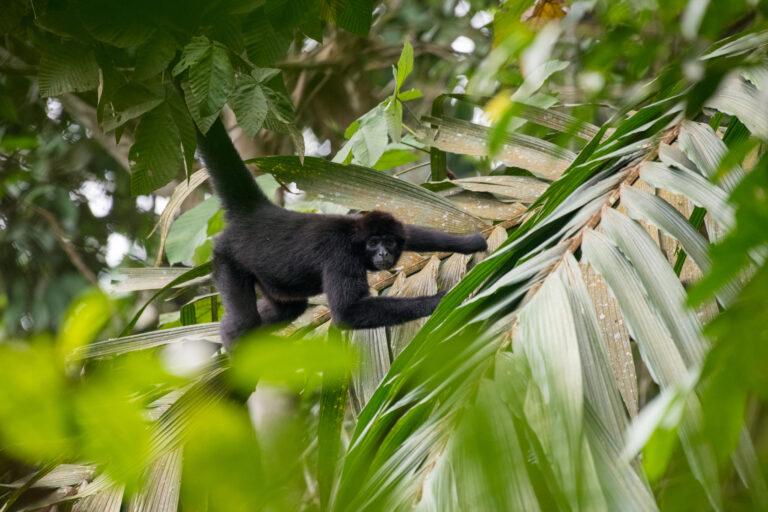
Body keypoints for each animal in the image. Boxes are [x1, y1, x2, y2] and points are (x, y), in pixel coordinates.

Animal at [195, 118, 488, 349]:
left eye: (389, 242)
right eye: (373, 243)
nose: (383, 253)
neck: (354, 240)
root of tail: (258, 212)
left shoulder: (384, 227)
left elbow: (417, 234)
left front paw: (472, 242)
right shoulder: (341, 256)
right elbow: (348, 313)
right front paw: (439, 299)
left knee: (288, 308)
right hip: (228, 259)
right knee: (244, 321)